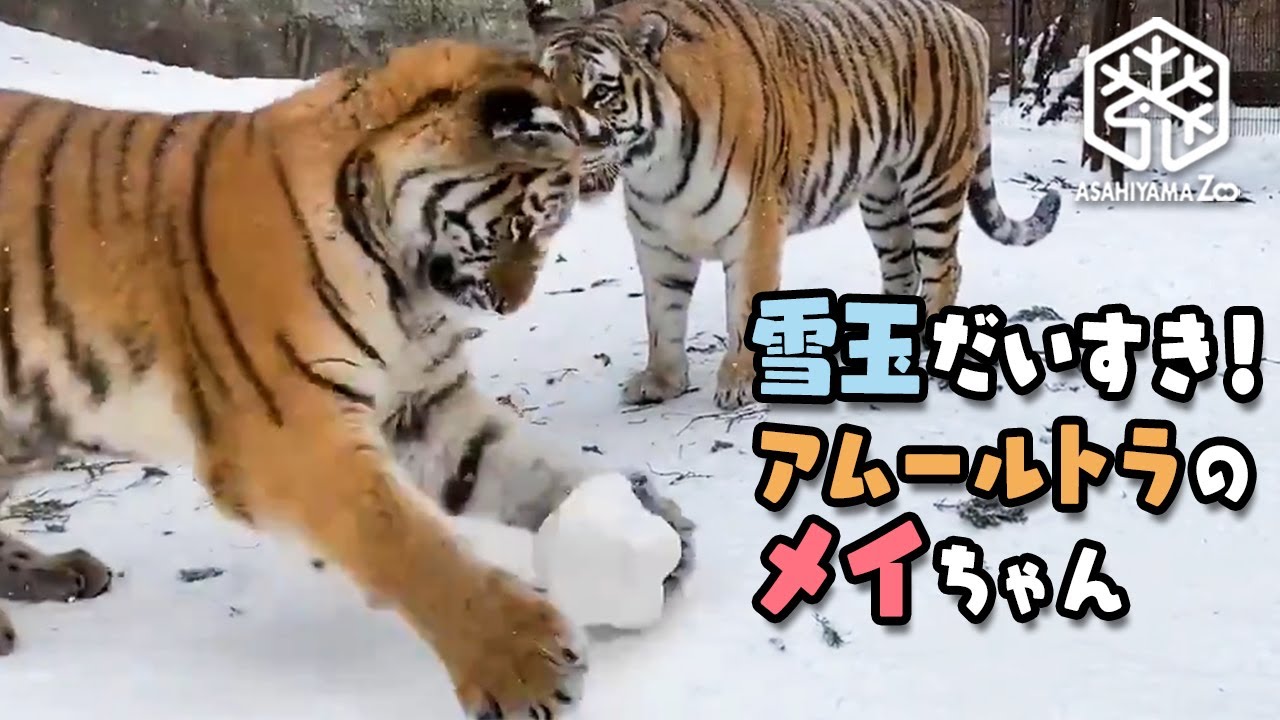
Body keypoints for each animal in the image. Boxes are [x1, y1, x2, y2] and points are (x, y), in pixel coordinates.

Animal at [0, 38, 693, 718]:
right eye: (522, 226)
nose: (511, 304)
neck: (400, 281)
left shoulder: (426, 402)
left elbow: (522, 464)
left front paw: (655, 524)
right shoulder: (290, 437)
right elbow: (406, 543)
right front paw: (525, 661)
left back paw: (55, 574)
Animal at [521, 0, 1063, 409]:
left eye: (600, 92)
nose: (554, 149)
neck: (653, 167)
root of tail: (966, 19)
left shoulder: (755, 227)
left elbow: (743, 309)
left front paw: (738, 382)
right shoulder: (658, 243)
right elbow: (662, 317)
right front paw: (661, 382)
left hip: (934, 177)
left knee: (944, 268)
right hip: (883, 197)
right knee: (902, 269)